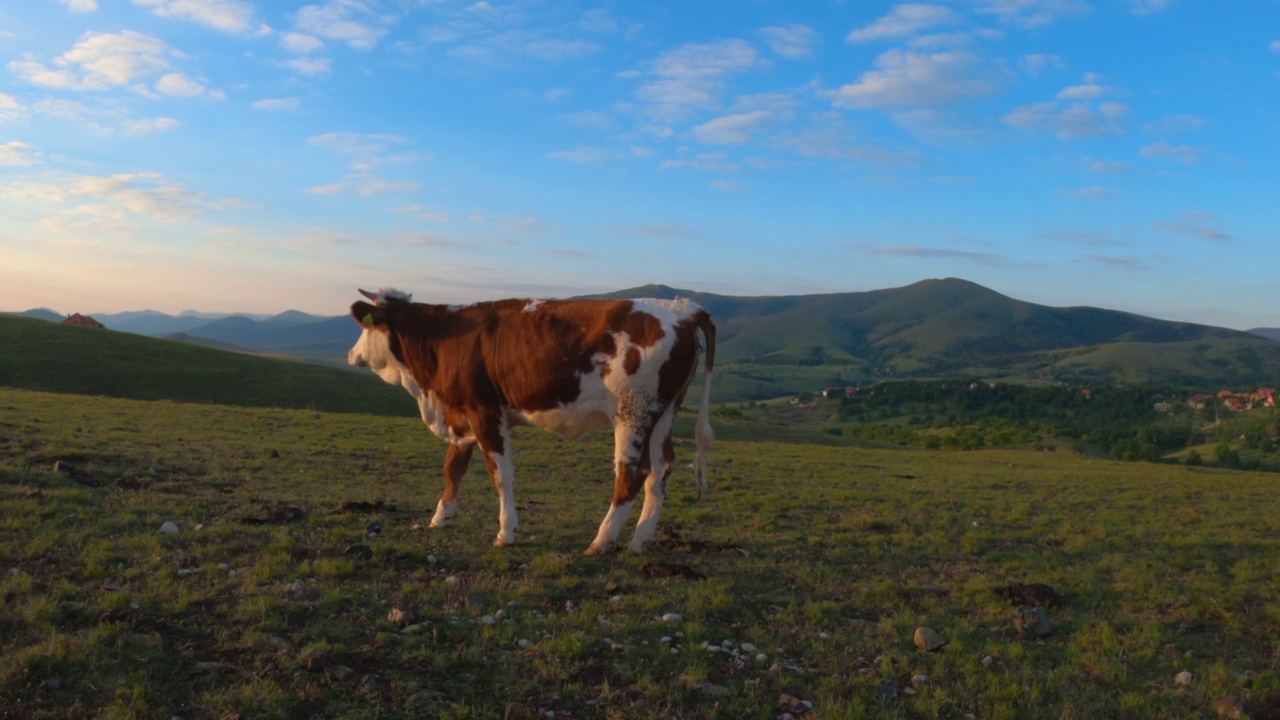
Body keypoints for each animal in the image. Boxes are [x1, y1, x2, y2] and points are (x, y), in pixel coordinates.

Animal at [345, 288, 716, 550]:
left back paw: (601, 541)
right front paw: (441, 516)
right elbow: (453, 467)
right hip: (664, 412)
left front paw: (506, 532)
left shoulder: (484, 411)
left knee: (632, 473)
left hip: (633, 412)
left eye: (364, 329)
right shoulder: (460, 412)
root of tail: (682, 308)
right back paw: (639, 541)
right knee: (661, 471)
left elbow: (500, 475)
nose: (351, 355)